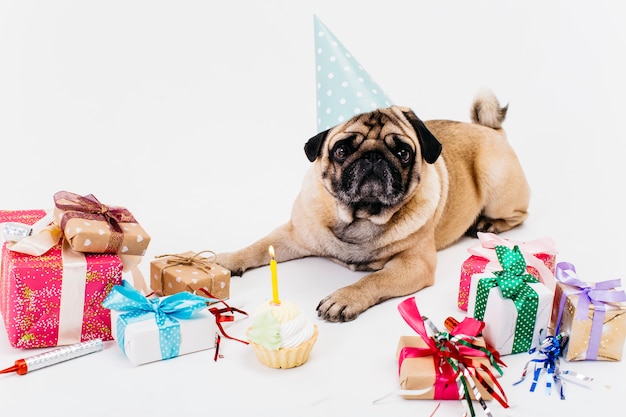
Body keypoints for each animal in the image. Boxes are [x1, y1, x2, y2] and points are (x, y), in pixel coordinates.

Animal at [217, 90, 528, 322]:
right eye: (341, 150)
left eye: (403, 153)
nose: (374, 157)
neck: (360, 217)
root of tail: (488, 129)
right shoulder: (294, 234)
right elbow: (257, 247)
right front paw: (225, 261)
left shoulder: (415, 264)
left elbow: (375, 280)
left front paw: (344, 298)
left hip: (495, 180)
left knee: (519, 215)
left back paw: (488, 223)